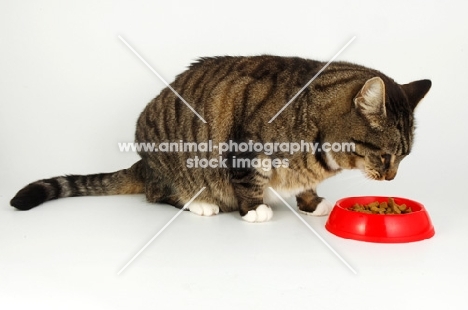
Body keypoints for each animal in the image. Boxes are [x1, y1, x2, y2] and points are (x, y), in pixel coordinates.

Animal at [9, 54, 432, 222]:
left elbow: (306, 185)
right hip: (172, 160)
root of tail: (142, 164)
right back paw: (199, 203)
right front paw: (254, 209)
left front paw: (311, 202)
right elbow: (248, 183)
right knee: (160, 194)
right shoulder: (247, 148)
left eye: (405, 157)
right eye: (385, 156)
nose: (392, 177)